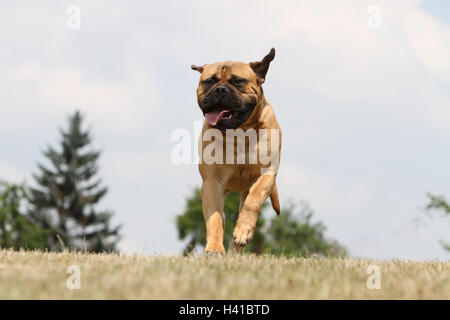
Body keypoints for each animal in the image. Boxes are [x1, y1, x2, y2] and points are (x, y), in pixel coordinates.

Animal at [192, 47, 284, 255]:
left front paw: (243, 231)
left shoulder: (266, 175)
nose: (220, 89)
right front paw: (214, 248)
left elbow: (253, 201)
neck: (239, 133)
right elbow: (215, 218)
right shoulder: (212, 181)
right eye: (209, 81)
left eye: (237, 81)